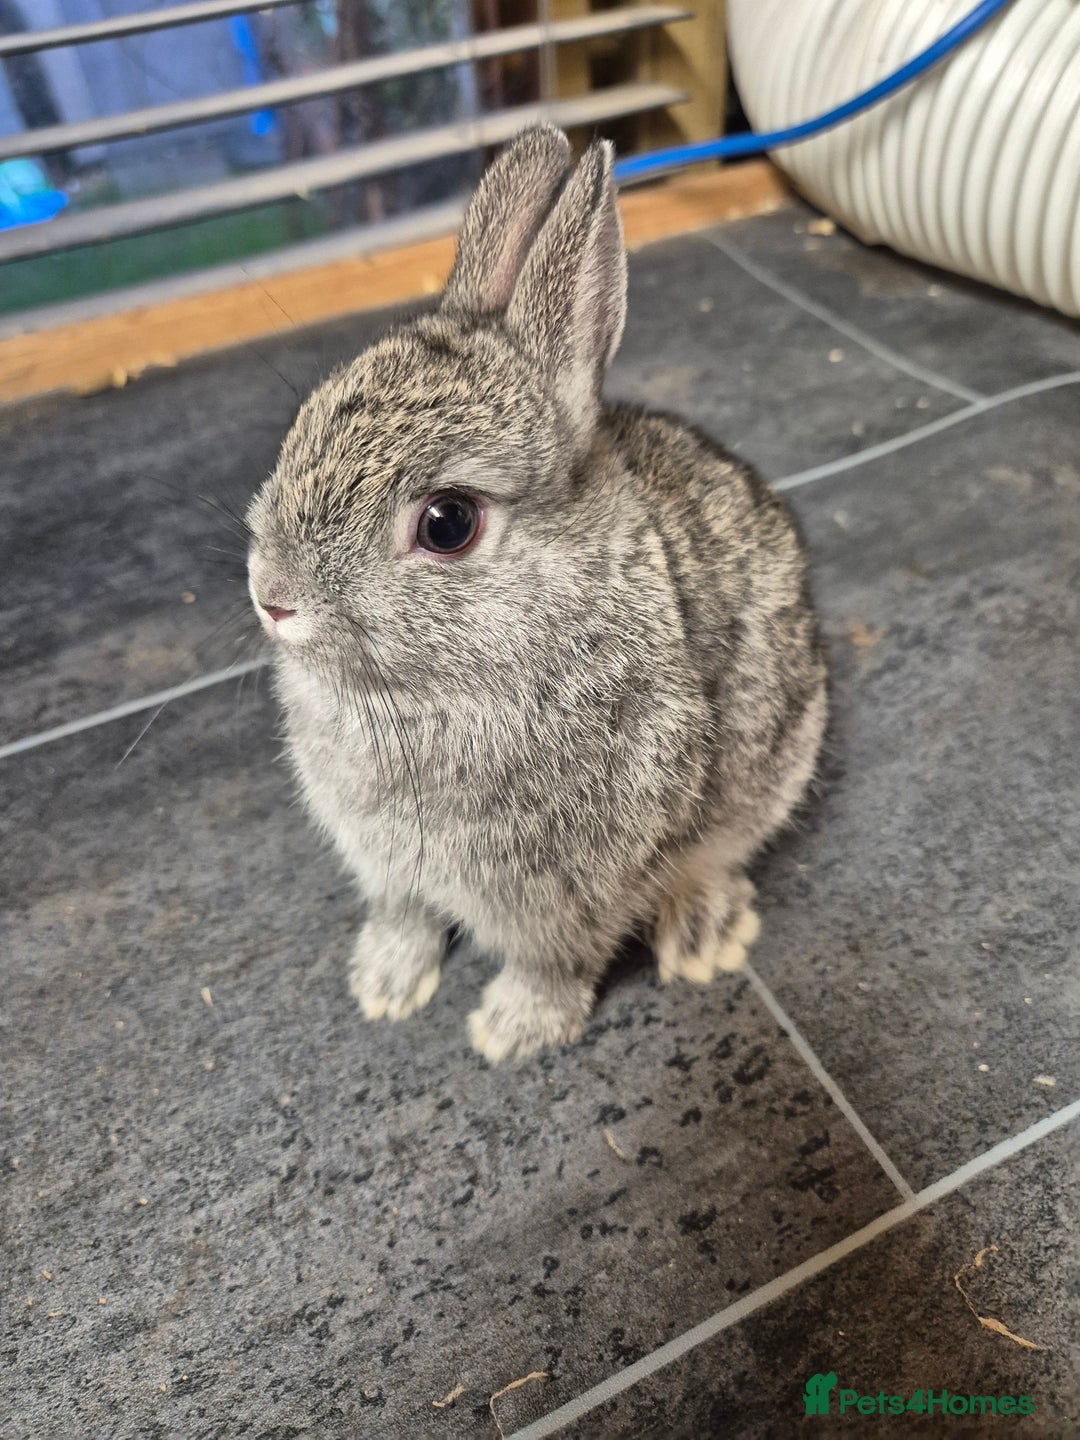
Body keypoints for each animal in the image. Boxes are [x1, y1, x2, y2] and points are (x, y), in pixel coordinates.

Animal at [246, 124, 827, 1062]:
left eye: (448, 523)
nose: (271, 596)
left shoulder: (569, 889)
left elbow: (553, 961)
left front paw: (509, 1032)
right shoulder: (388, 865)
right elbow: (404, 919)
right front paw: (383, 989)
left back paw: (703, 936)